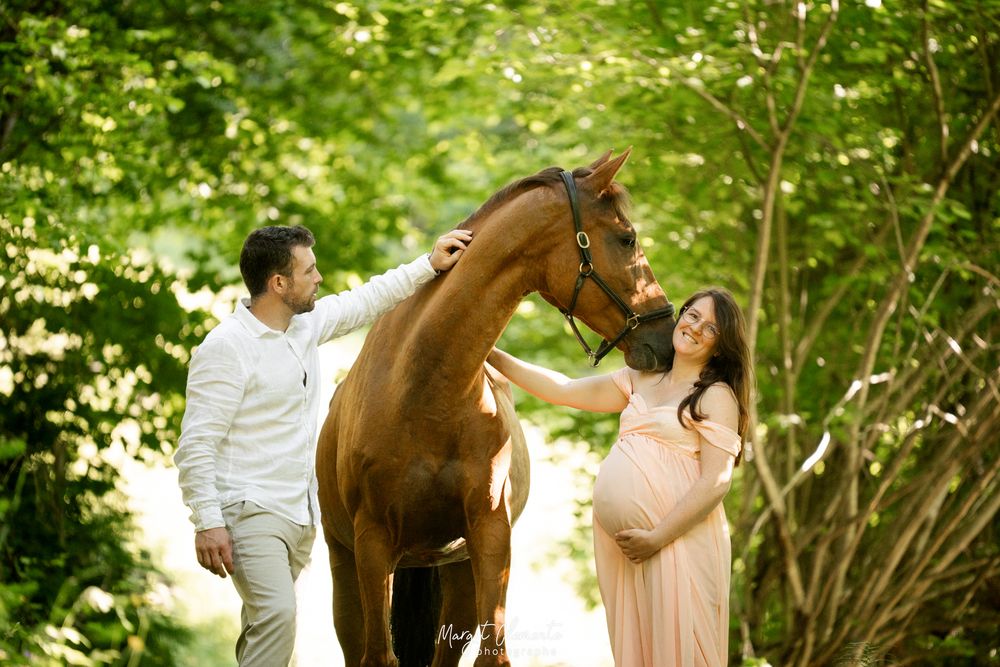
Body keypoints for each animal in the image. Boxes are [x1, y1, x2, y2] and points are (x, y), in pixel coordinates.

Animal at [316, 149, 677, 667]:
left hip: (457, 574)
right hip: (344, 566)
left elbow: (493, 654)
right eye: (627, 239)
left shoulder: (489, 535)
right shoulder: (373, 543)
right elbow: (380, 656)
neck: (425, 396)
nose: (667, 338)